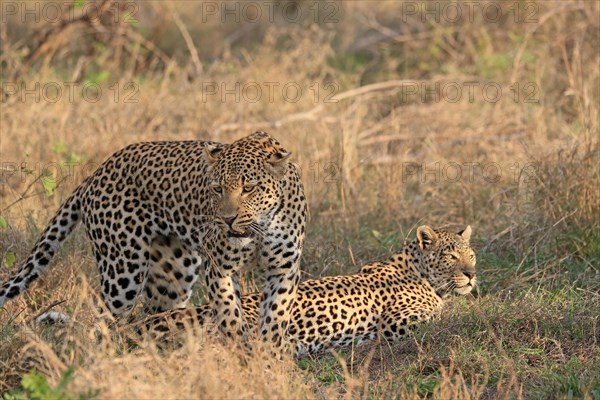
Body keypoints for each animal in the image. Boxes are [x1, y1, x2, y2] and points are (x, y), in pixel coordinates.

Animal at [0, 132, 308, 344]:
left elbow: (276, 319)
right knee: (97, 319)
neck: (260, 229)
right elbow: (230, 315)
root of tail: (96, 173)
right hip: (123, 272)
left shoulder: (284, 270)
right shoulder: (220, 268)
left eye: (249, 188)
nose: (227, 219)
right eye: (217, 189)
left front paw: (268, 357)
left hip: (175, 275)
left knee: (154, 316)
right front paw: (241, 352)